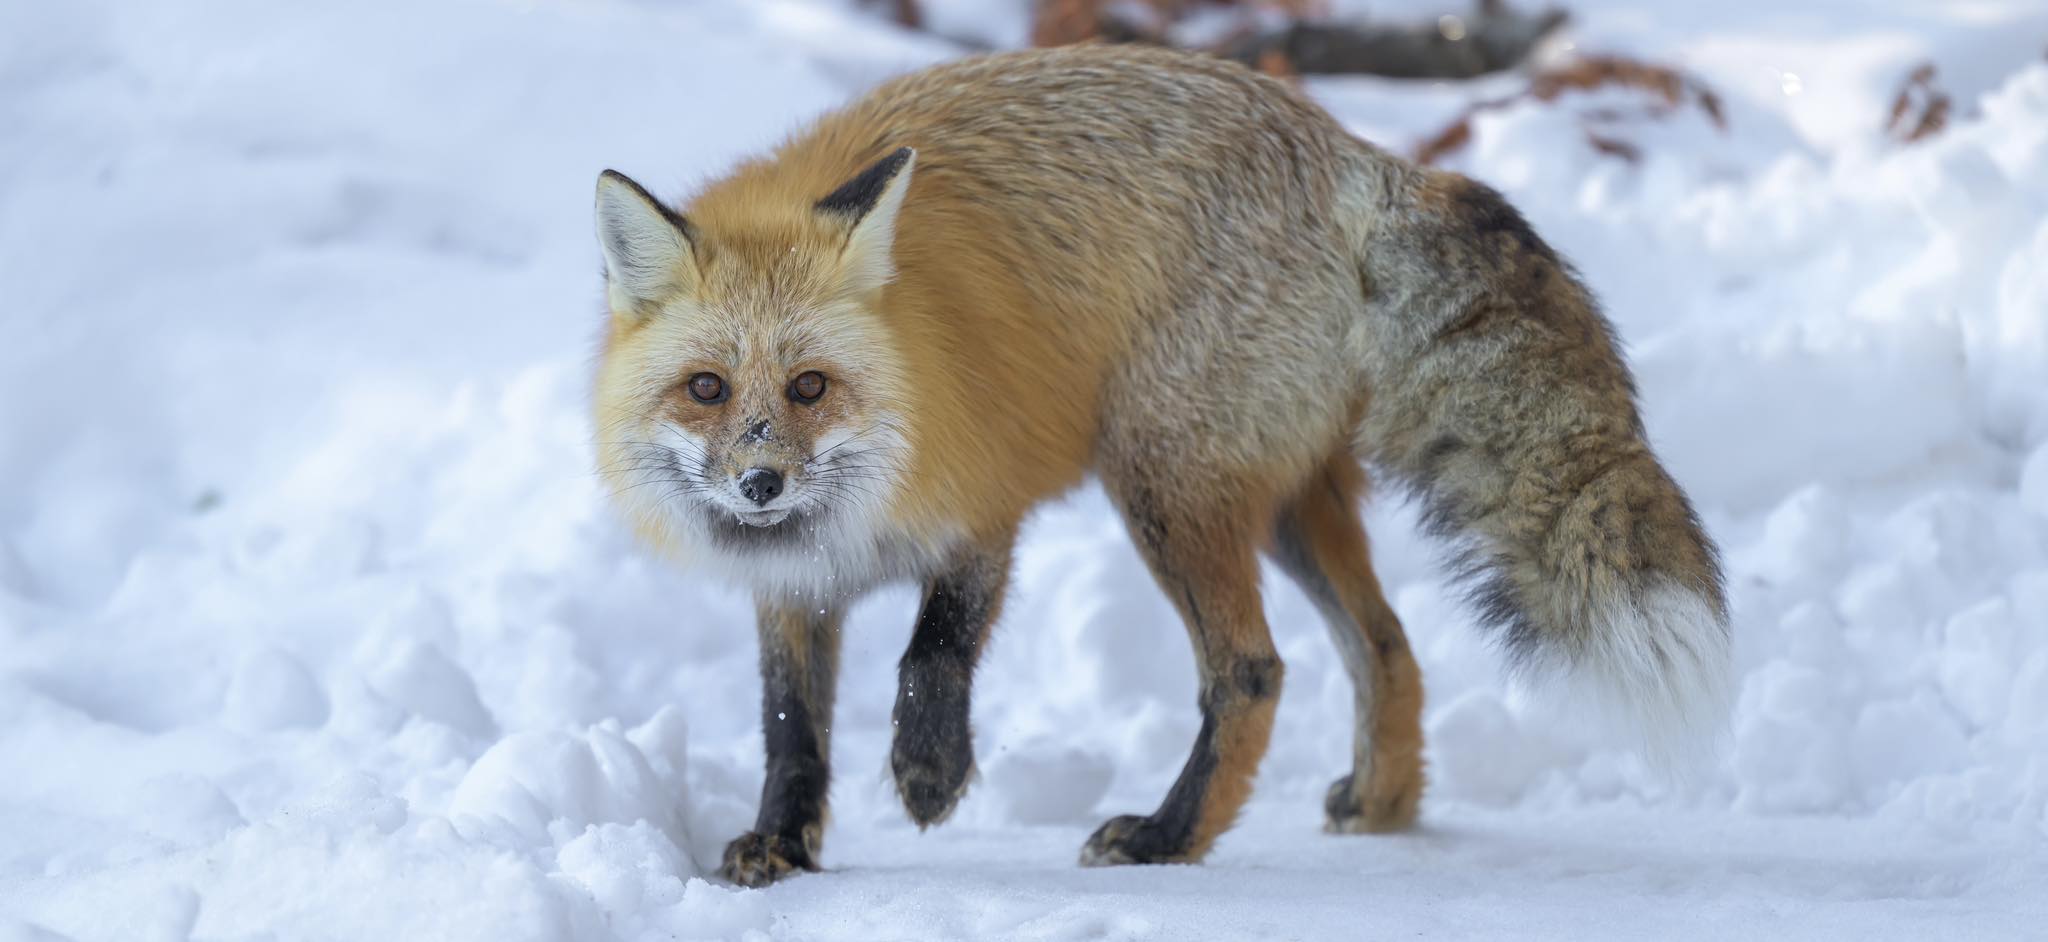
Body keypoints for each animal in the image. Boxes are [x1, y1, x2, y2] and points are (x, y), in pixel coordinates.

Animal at [591, 43, 1729, 887]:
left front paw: (928, 776)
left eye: (810, 387)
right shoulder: (793, 582)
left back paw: (1168, 838)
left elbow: (931, 655)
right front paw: (780, 845)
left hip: (1162, 485)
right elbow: (791, 727)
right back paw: (1380, 803)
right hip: (1282, 501)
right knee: (1385, 644)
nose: (760, 486)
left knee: (1253, 671)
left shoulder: (985, 507)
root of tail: (1353, 153)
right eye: (706, 389)